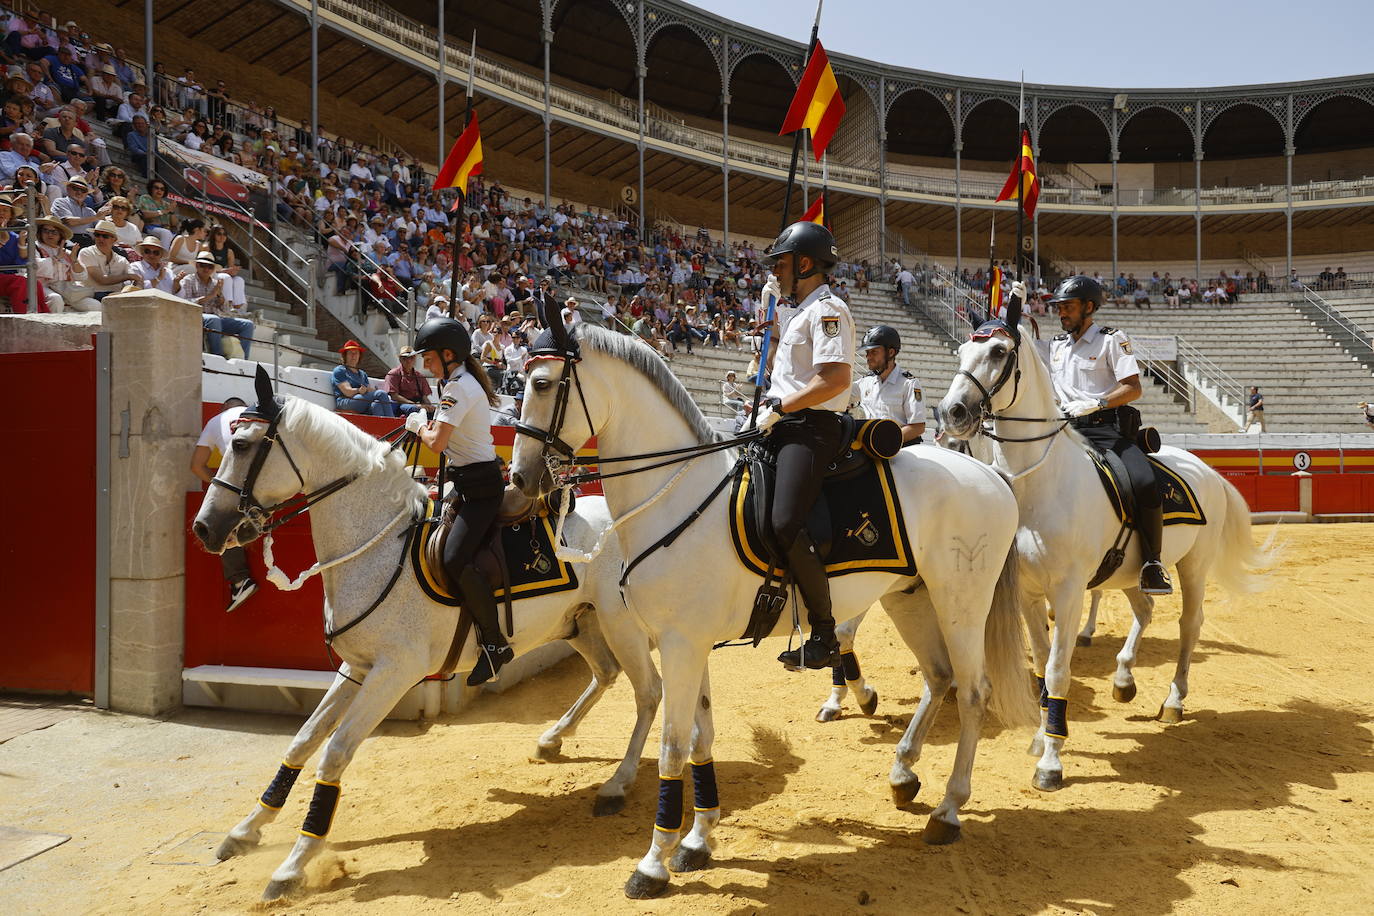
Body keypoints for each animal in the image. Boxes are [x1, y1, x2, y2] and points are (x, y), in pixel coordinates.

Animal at [196, 381, 662, 900]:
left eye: (241, 445)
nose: (204, 528)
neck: (380, 546)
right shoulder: (356, 668)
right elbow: (302, 742)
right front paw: (246, 831)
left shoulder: (393, 673)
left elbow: (334, 753)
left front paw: (294, 864)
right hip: (579, 622)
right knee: (605, 673)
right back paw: (551, 739)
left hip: (620, 623)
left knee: (649, 691)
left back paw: (618, 785)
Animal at [511, 325, 1033, 900]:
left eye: (541, 383)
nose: (519, 478)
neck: (679, 497)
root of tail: (987, 472)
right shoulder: (692, 643)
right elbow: (701, 738)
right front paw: (698, 840)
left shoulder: (679, 644)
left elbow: (672, 748)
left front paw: (653, 862)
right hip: (910, 596)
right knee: (938, 677)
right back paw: (904, 775)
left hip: (962, 602)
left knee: (973, 692)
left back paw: (948, 810)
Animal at [939, 317, 1269, 791]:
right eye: (962, 351)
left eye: (999, 352)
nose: (952, 412)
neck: (1041, 482)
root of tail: (1205, 468)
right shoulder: (1028, 594)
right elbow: (1041, 666)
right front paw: (1041, 738)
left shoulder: (1068, 592)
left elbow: (1058, 669)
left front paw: (1051, 762)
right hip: (1130, 572)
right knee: (1146, 609)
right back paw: (1124, 678)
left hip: (1194, 566)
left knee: (1189, 625)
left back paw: (1174, 701)